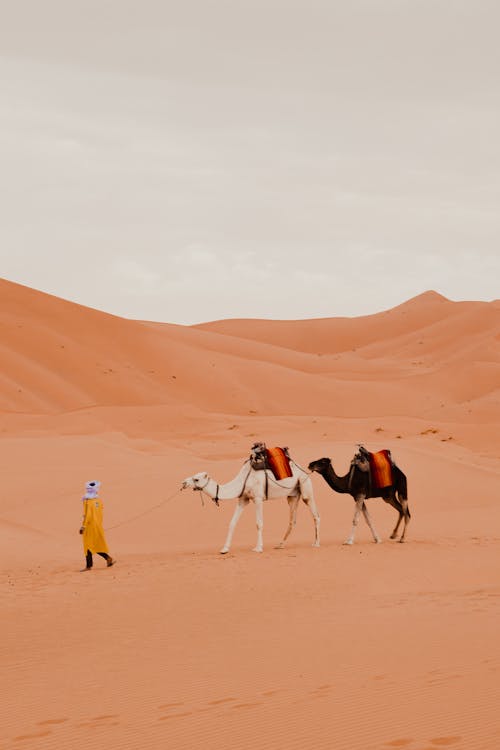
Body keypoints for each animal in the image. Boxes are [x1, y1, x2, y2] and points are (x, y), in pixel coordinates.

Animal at [181, 462, 320, 556]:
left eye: (196, 479)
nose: (183, 483)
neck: (243, 480)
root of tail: (303, 470)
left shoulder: (258, 498)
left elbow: (259, 523)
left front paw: (258, 548)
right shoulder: (243, 499)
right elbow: (232, 523)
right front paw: (224, 549)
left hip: (305, 485)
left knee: (315, 514)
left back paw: (316, 543)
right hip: (292, 495)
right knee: (292, 520)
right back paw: (280, 545)